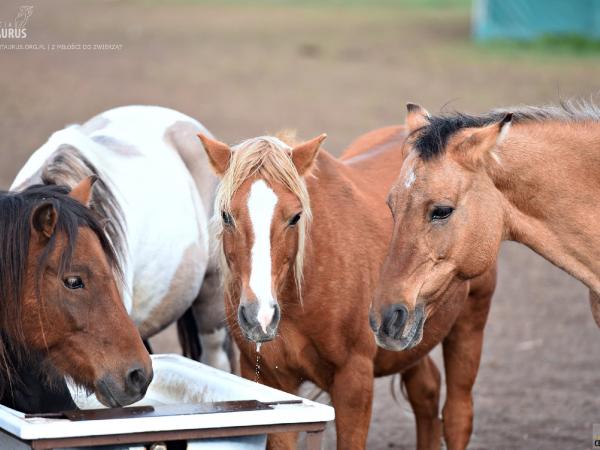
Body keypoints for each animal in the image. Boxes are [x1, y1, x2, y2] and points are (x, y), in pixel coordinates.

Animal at [197, 127, 496, 450]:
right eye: (226, 216)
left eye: (295, 217)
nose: (259, 316)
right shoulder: (271, 382)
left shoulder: (354, 381)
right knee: (426, 390)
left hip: (470, 322)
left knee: (457, 417)